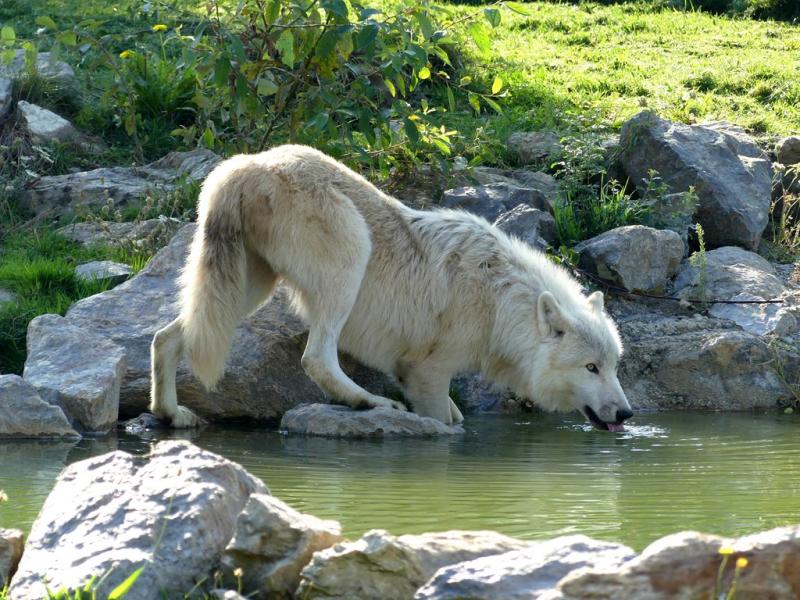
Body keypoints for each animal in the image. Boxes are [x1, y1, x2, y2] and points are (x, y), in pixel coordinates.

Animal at [150, 144, 633, 430]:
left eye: (614, 366)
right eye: (591, 368)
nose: (628, 412)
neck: (499, 302)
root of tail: (240, 165)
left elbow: (458, 415)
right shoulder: (427, 374)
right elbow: (445, 423)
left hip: (248, 290)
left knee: (166, 337)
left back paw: (170, 414)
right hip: (349, 259)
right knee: (316, 358)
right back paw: (372, 404)